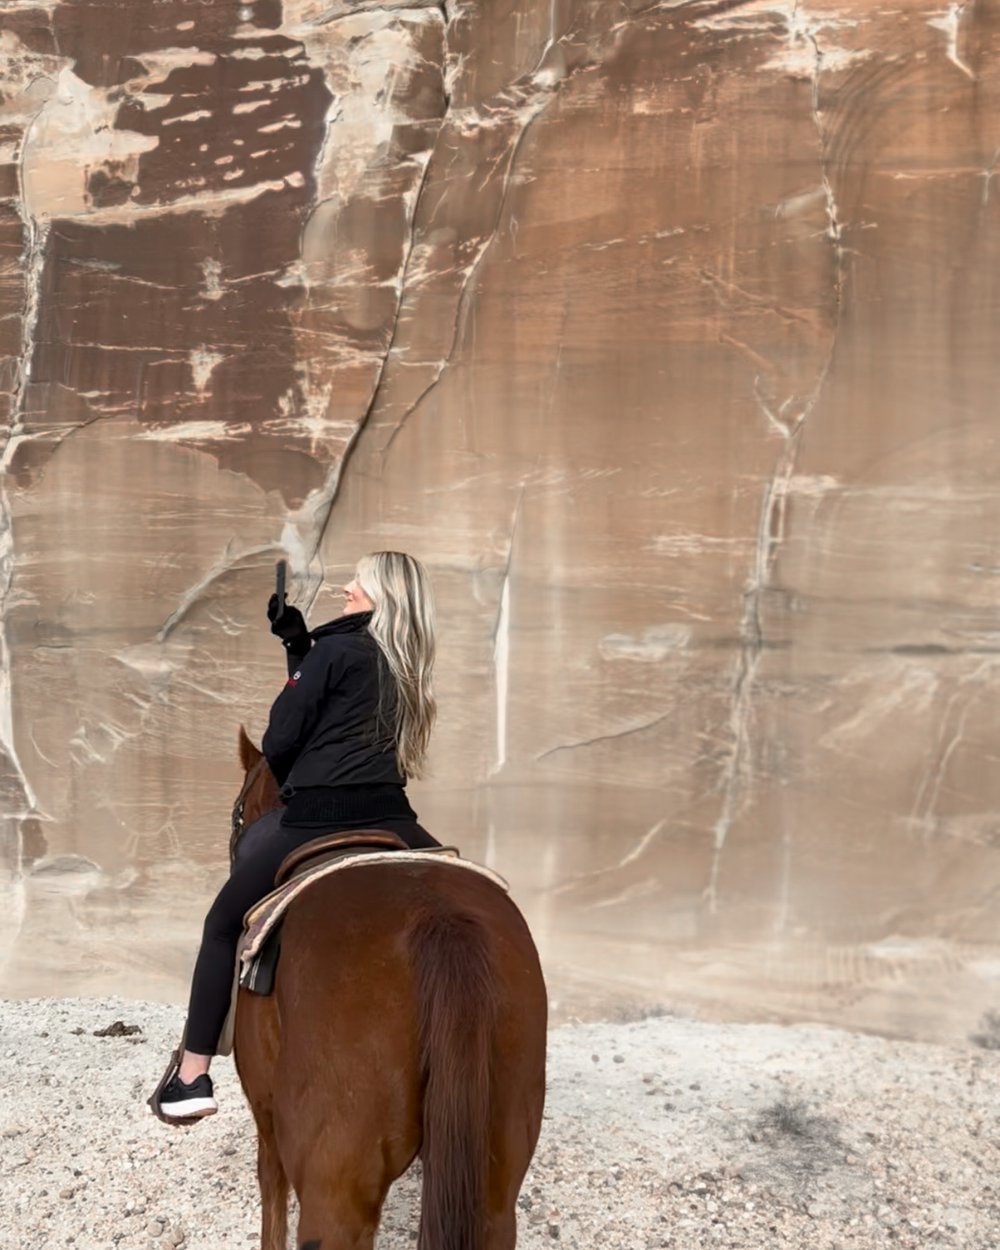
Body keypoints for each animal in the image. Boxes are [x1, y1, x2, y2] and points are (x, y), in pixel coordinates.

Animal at [227, 725, 547, 1250]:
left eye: (237, 811)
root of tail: (437, 920)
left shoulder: (266, 1114)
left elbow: (271, 1202)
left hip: (335, 1185)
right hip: (495, 1180)